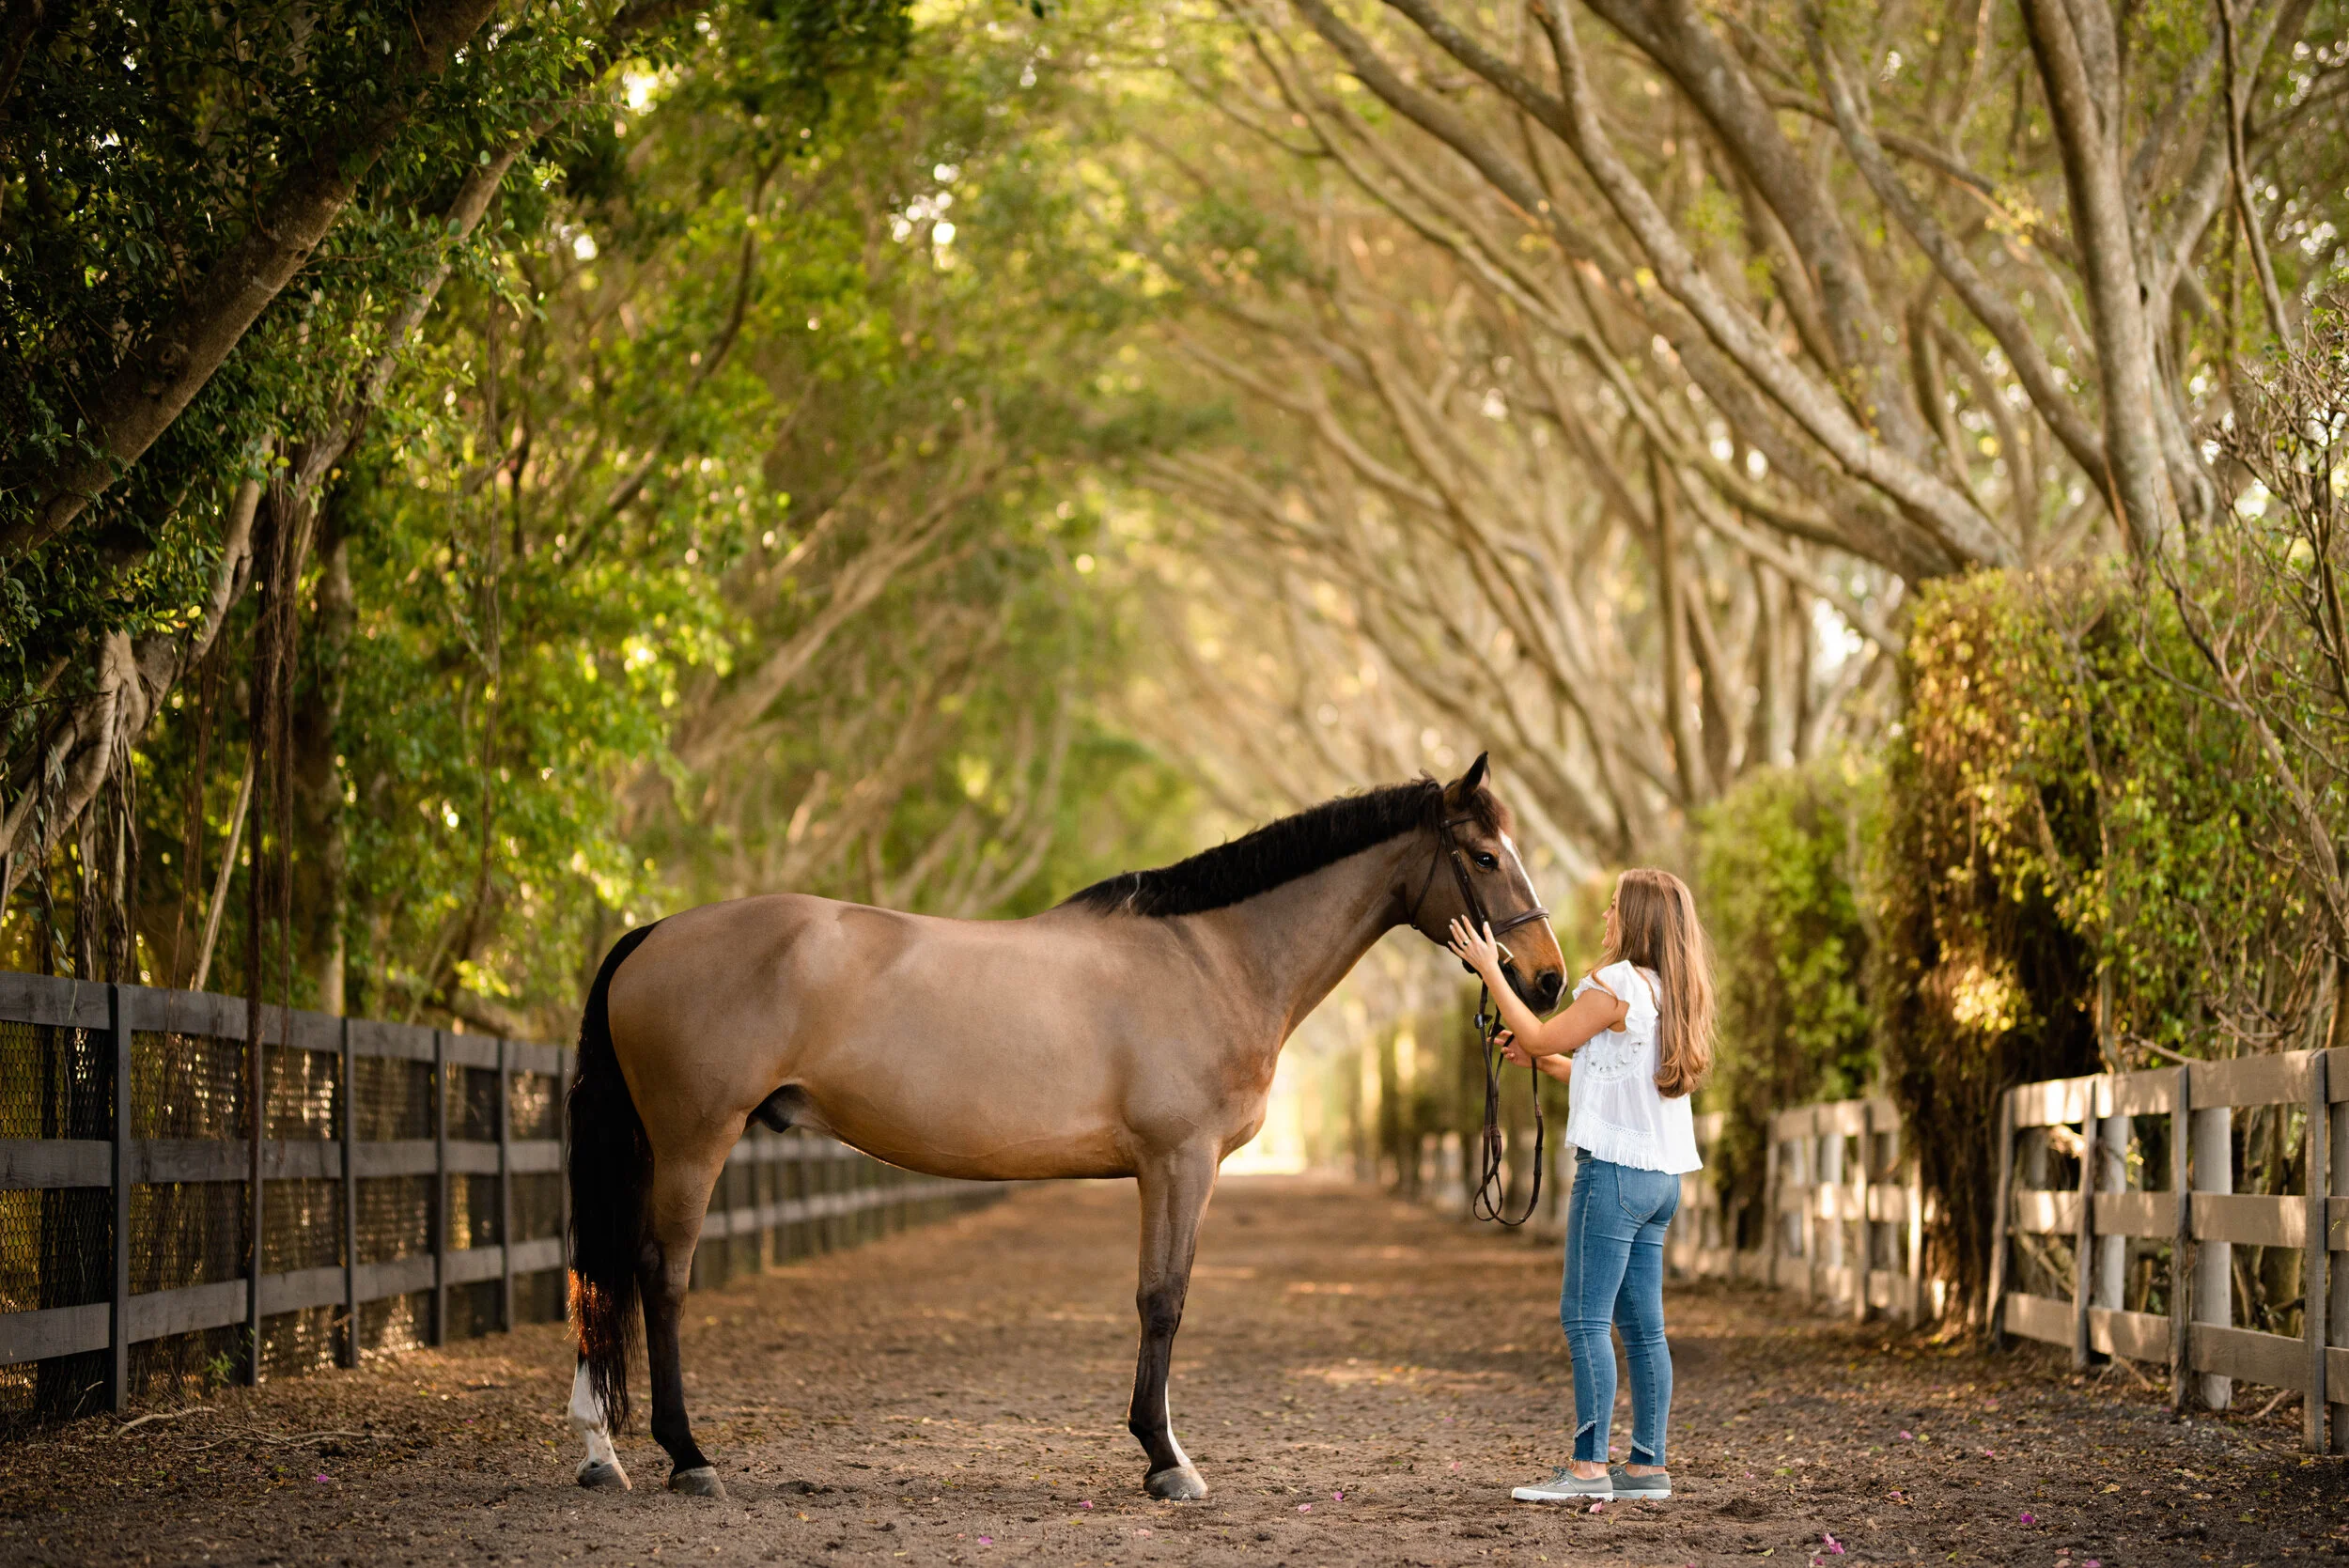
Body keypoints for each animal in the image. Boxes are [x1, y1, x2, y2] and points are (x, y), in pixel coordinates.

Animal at [562, 753, 1565, 1501]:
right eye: (1483, 856)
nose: (1548, 978)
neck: (1214, 956)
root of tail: (652, 933)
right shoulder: (1178, 1162)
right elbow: (1163, 1300)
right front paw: (1167, 1460)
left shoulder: (1172, 1167)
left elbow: (1162, 1297)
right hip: (694, 1138)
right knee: (658, 1274)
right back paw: (688, 1456)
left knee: (602, 1271)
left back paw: (602, 1454)